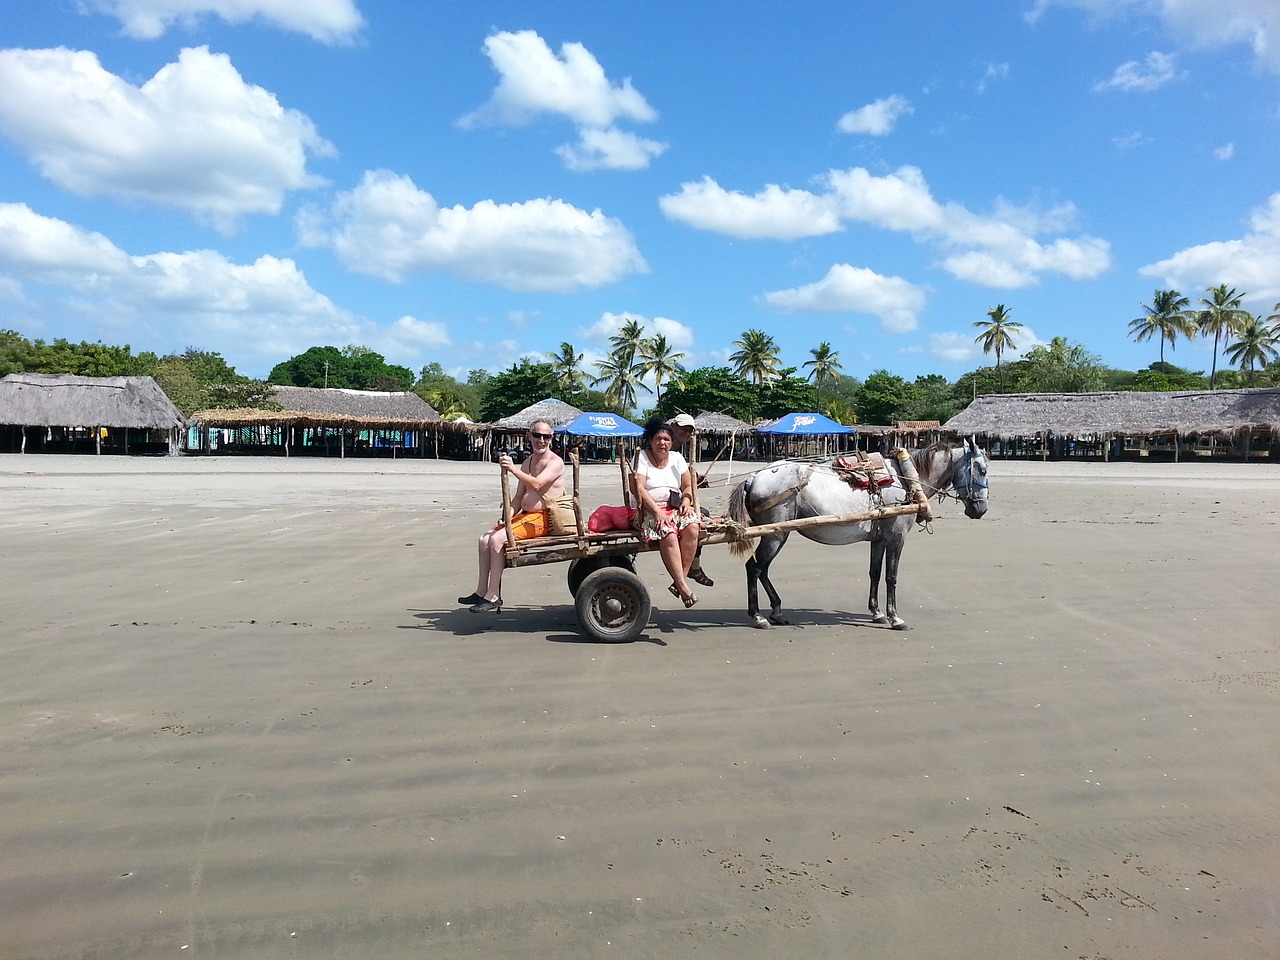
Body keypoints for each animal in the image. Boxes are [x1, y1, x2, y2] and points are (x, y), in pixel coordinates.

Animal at [732, 442, 988, 632]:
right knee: (754, 568)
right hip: (776, 534)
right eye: (983, 470)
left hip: (776, 534)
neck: (906, 479)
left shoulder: (879, 540)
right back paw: (758, 616)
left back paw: (776, 610)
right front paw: (895, 618)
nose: (981, 509)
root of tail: (754, 477)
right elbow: (891, 577)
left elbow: (874, 573)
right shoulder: (896, 539)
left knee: (762, 570)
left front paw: (877, 613)